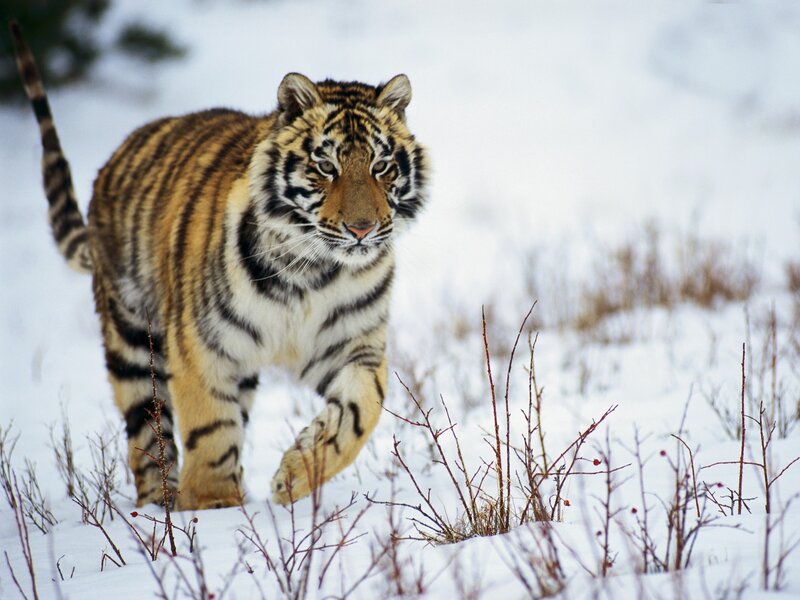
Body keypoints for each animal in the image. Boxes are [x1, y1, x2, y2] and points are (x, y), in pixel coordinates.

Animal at [10, 21, 428, 509]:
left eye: (382, 166)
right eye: (326, 166)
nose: (362, 229)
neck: (311, 271)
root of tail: (113, 159)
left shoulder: (353, 344)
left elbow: (362, 411)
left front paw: (293, 477)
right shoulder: (202, 344)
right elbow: (210, 427)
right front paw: (214, 508)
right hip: (132, 340)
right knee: (147, 436)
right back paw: (160, 508)